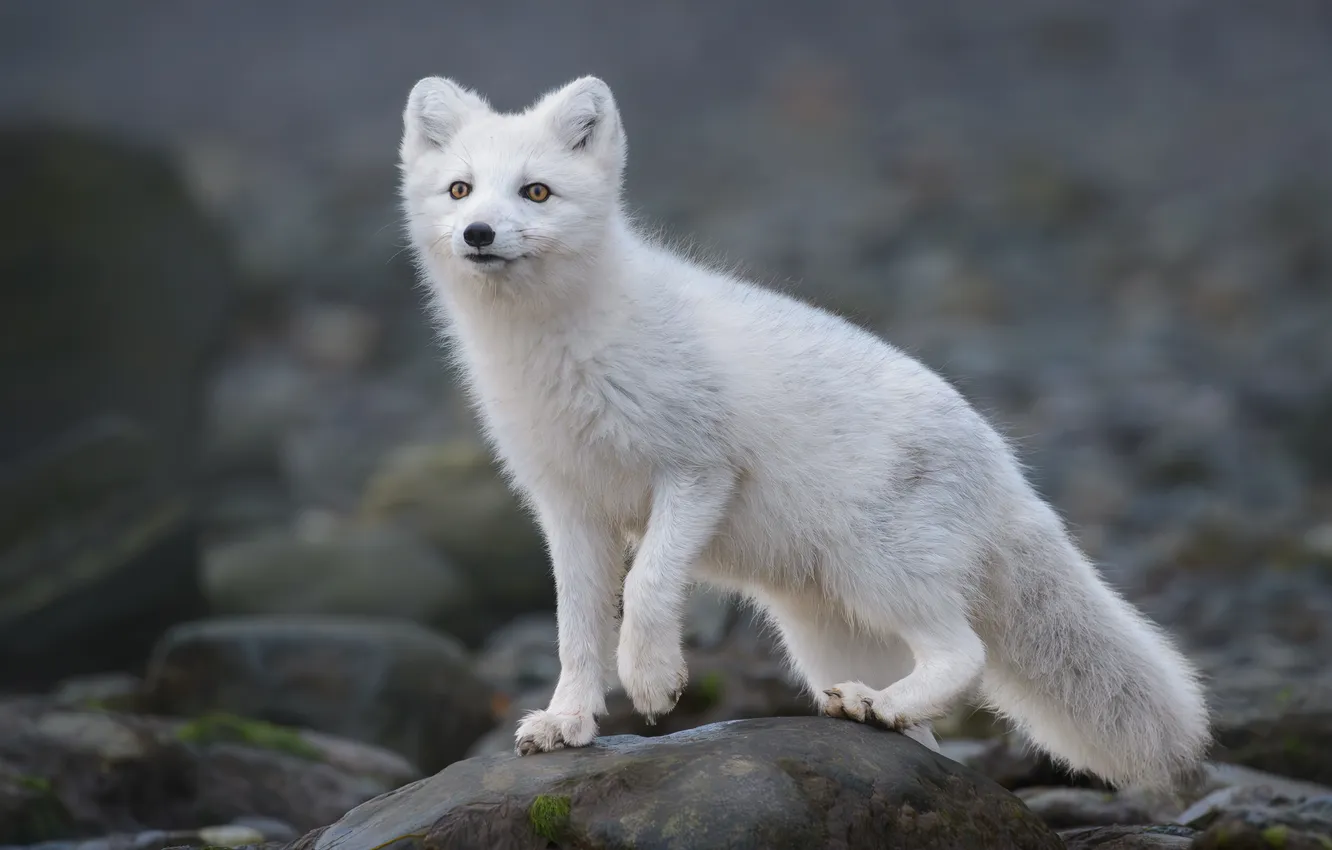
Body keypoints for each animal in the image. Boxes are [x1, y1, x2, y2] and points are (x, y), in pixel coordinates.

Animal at [397, 74, 1211, 790]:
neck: (555, 350)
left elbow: (652, 582)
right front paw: (568, 721)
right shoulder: (568, 508)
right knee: (931, 736)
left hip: (881, 571)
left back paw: (881, 704)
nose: (478, 233)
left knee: (967, 655)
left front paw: (653, 680)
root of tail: (1007, 474)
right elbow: (576, 629)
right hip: (825, 629)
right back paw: (882, 721)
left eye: (535, 191)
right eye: (460, 190)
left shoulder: (698, 468)